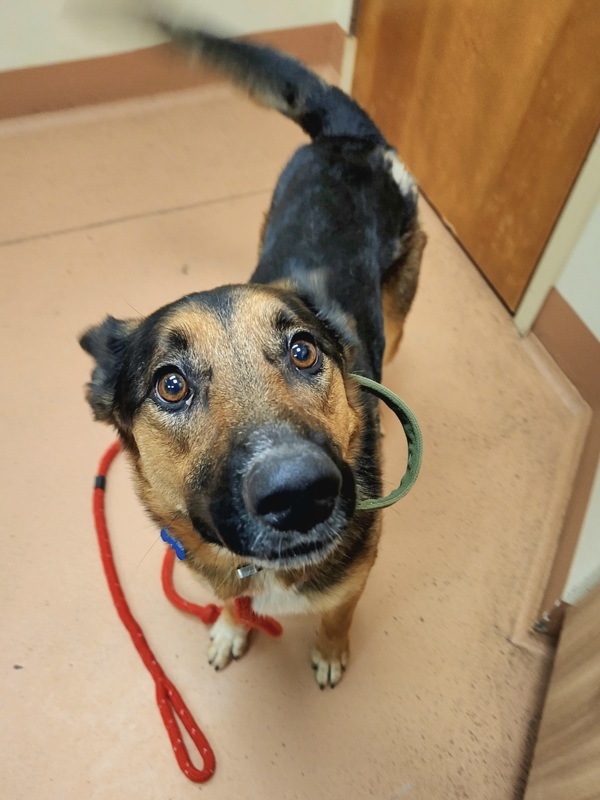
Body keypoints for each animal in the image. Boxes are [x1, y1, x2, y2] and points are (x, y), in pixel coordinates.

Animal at [79, 25, 426, 688]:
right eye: (170, 385)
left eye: (303, 351)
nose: (300, 493)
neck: (260, 572)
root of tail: (350, 139)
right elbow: (227, 602)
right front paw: (229, 628)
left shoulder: (358, 571)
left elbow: (338, 612)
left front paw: (330, 651)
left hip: (399, 302)